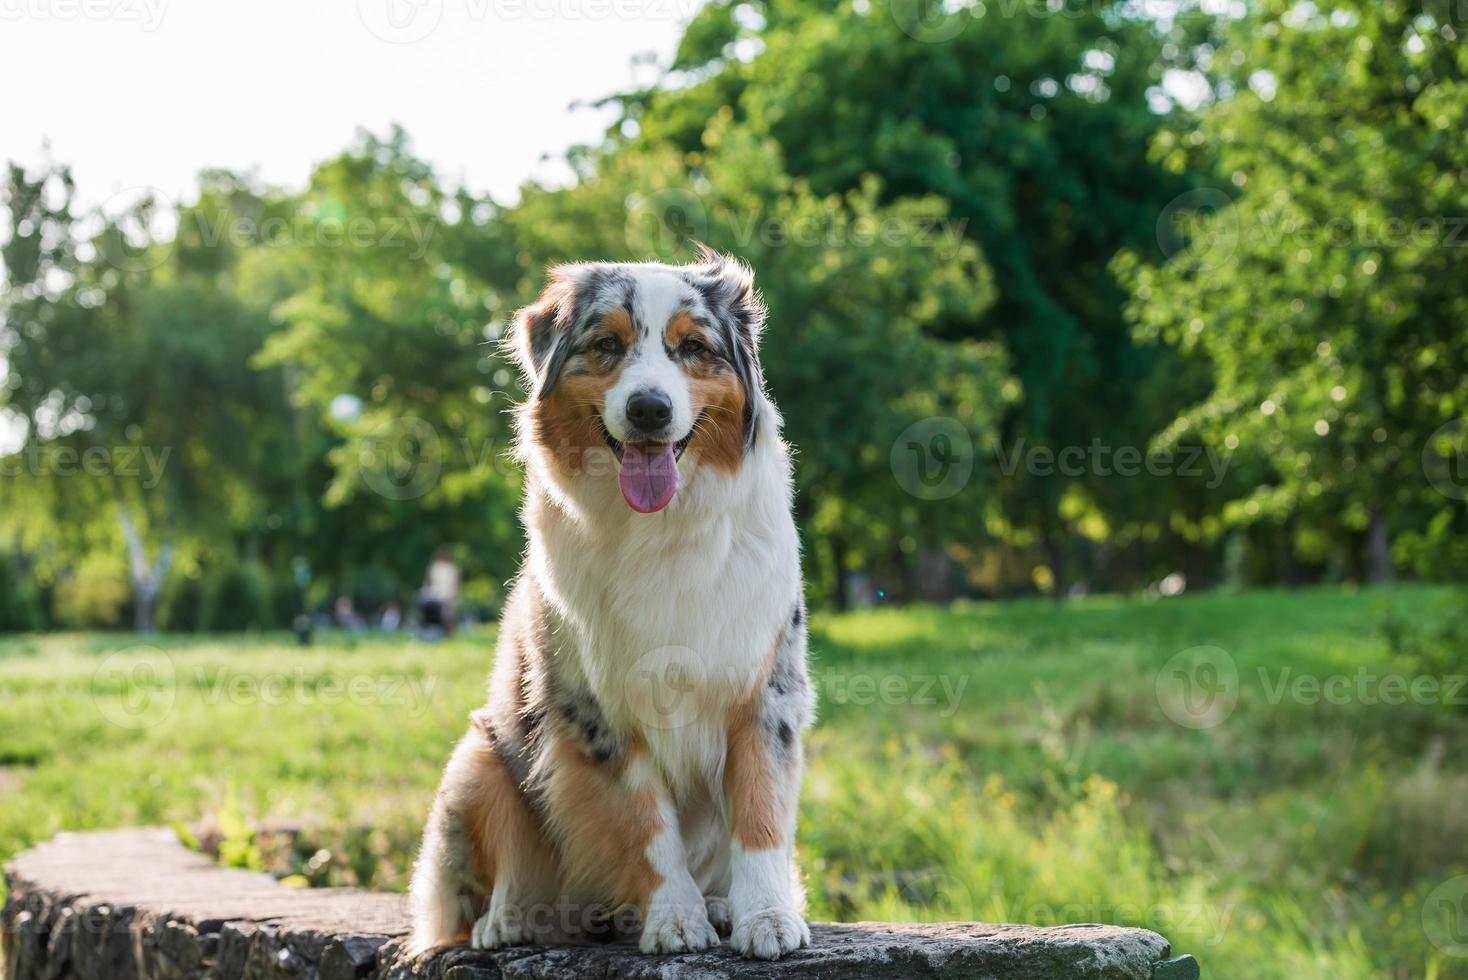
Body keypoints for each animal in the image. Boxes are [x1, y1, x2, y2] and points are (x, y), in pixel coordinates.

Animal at [411, 243, 816, 956]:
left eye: (692, 348)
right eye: (607, 345)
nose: (649, 409)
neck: (663, 530)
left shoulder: (766, 687)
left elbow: (761, 812)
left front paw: (766, 917)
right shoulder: (595, 708)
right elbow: (646, 825)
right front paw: (674, 917)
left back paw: (719, 904)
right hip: (480, 754)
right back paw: (511, 917)